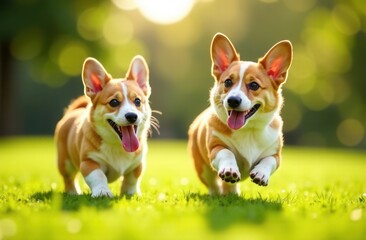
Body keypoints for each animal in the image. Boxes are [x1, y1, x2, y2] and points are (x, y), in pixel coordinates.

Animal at [54, 55, 153, 198]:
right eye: (114, 102)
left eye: (137, 101)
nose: (132, 116)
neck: (117, 146)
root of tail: (72, 112)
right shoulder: (89, 162)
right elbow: (98, 176)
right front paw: (102, 192)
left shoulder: (137, 164)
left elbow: (132, 179)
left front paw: (131, 193)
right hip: (65, 163)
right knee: (69, 178)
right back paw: (73, 192)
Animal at [189, 33, 292, 195]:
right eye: (228, 82)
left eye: (254, 85)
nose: (233, 100)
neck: (248, 130)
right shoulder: (215, 147)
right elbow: (227, 153)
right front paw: (230, 170)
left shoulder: (275, 155)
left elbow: (268, 161)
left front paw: (261, 174)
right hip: (203, 169)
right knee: (213, 184)